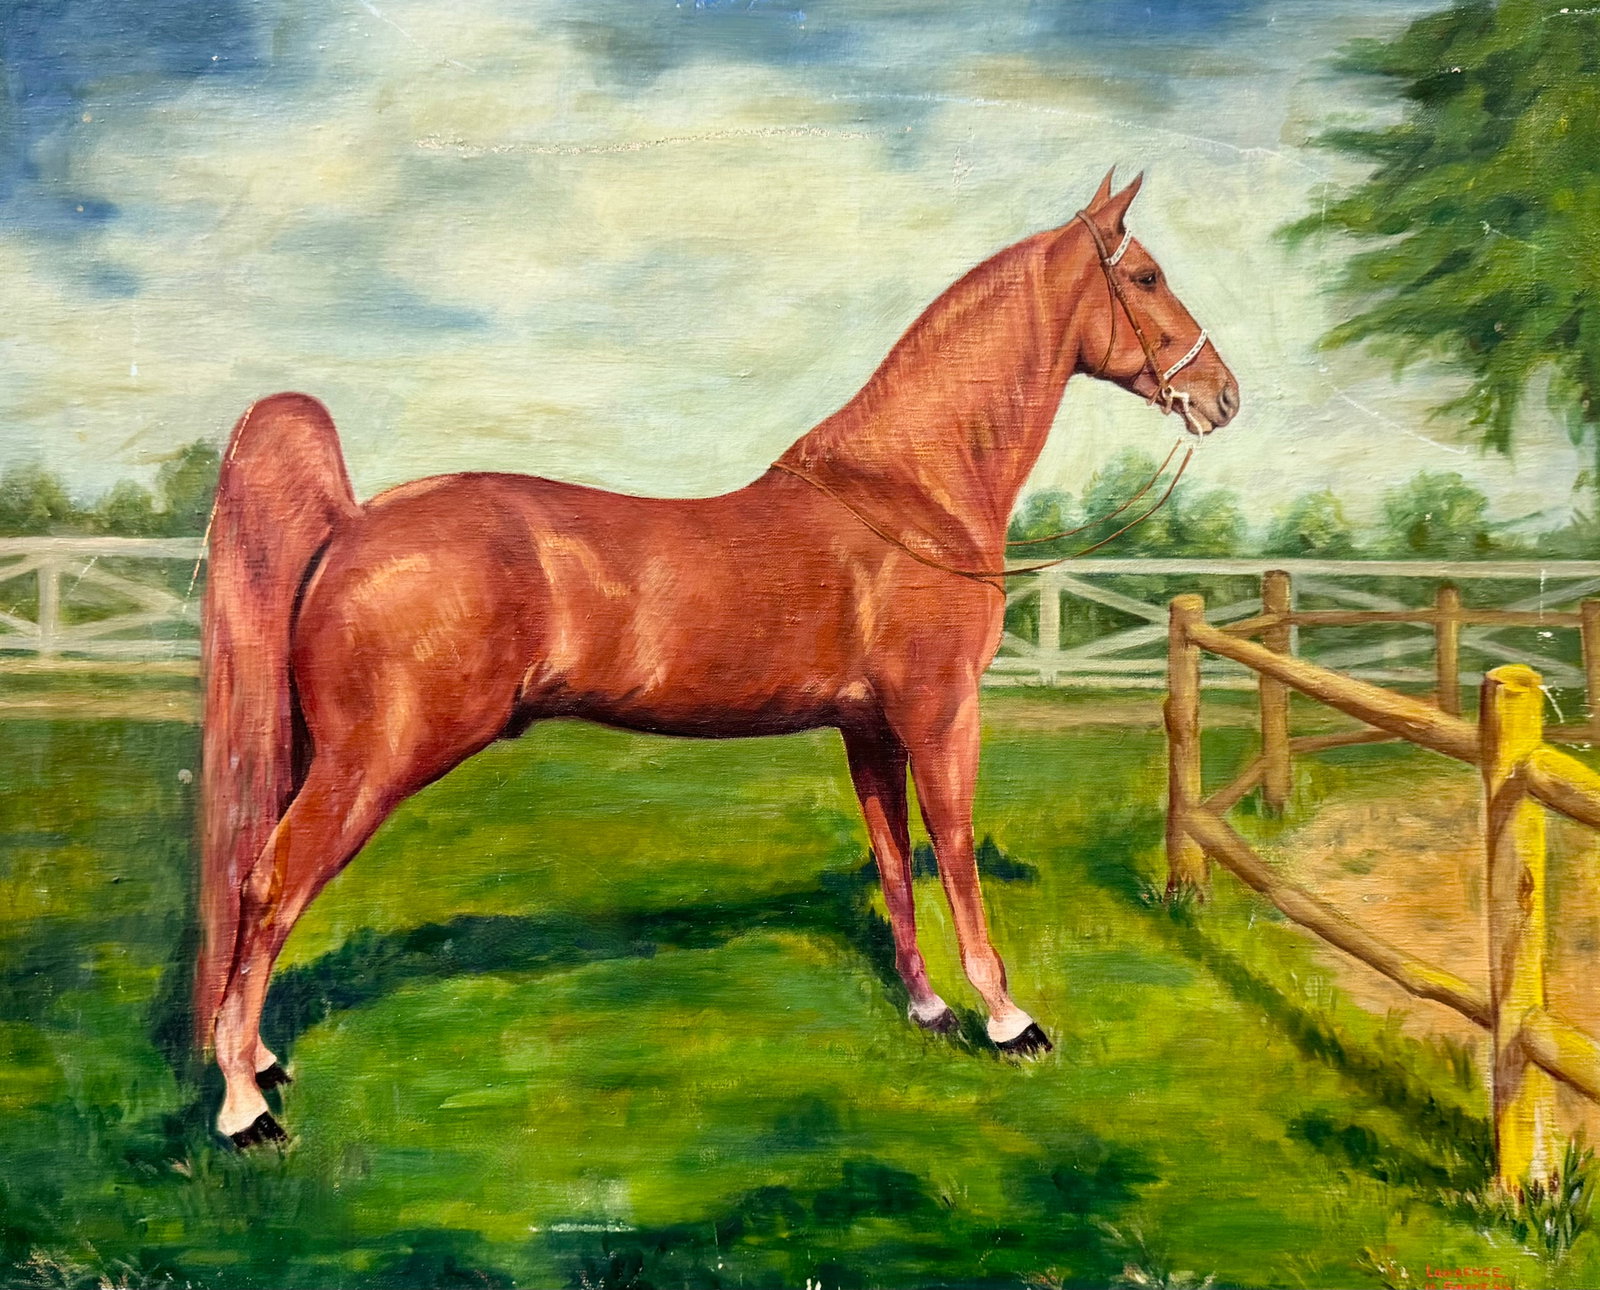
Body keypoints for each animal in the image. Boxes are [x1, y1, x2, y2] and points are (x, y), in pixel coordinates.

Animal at [197, 170, 1239, 1146]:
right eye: (1146, 275)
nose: (1221, 395)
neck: (909, 494)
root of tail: (349, 525)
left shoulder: (868, 729)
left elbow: (894, 862)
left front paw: (928, 1006)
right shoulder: (943, 714)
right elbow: (952, 856)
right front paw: (1007, 1019)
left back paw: (259, 1060)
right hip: (371, 762)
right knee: (271, 884)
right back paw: (244, 1107)